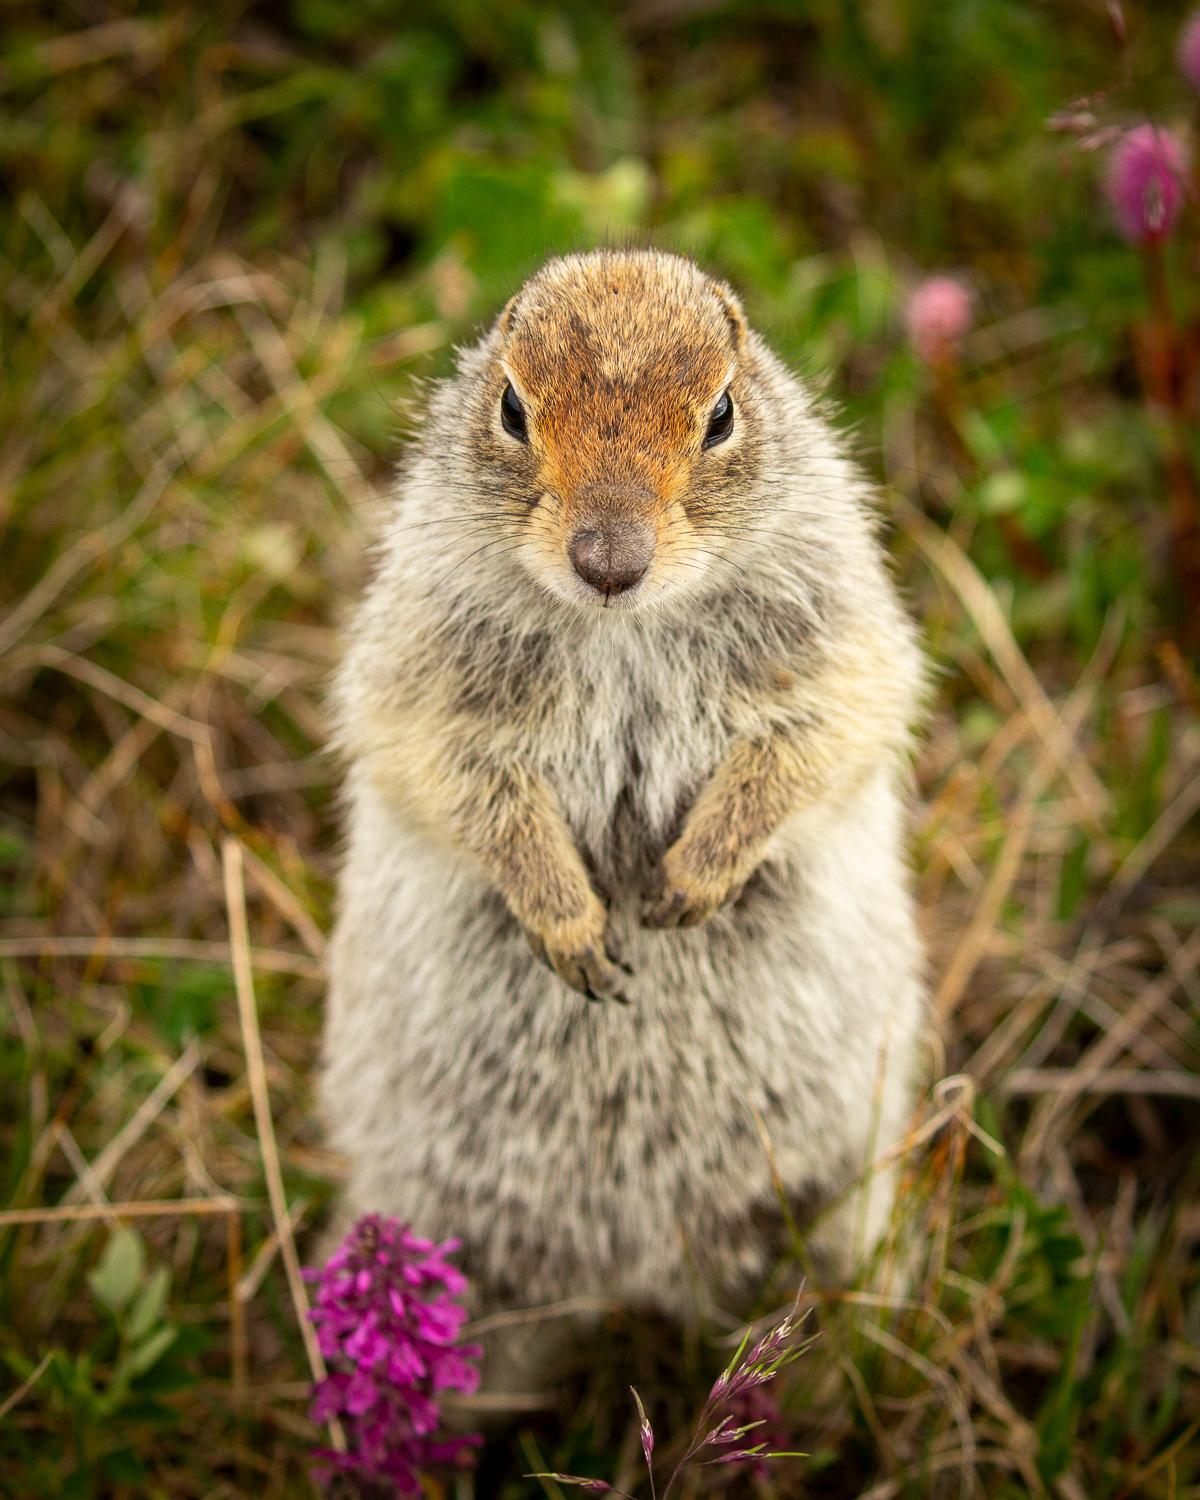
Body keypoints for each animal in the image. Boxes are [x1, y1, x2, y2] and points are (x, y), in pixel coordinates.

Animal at [322, 248, 926, 1341]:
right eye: (511, 407)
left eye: (722, 413)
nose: (609, 562)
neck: (622, 629)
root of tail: (628, 1281)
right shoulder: (419, 664)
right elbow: (455, 776)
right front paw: (575, 928)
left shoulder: (838, 631)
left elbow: (818, 738)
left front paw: (688, 882)